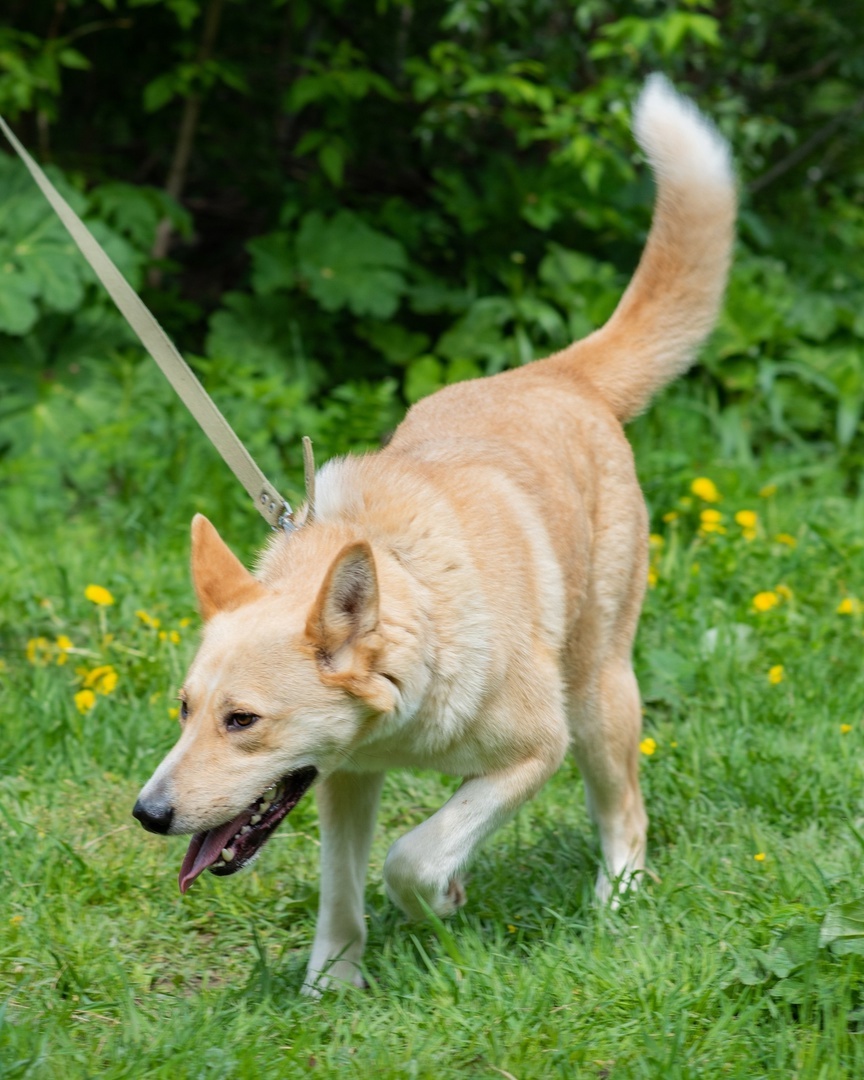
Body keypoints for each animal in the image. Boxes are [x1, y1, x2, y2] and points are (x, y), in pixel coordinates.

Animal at [131, 71, 734, 989]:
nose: (147, 813)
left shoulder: (534, 749)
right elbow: (342, 886)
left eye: (242, 721)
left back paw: (618, 895)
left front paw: (441, 901)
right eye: (184, 708)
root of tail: (558, 373)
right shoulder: (343, 778)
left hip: (599, 692)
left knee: (622, 805)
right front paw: (332, 982)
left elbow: (411, 858)